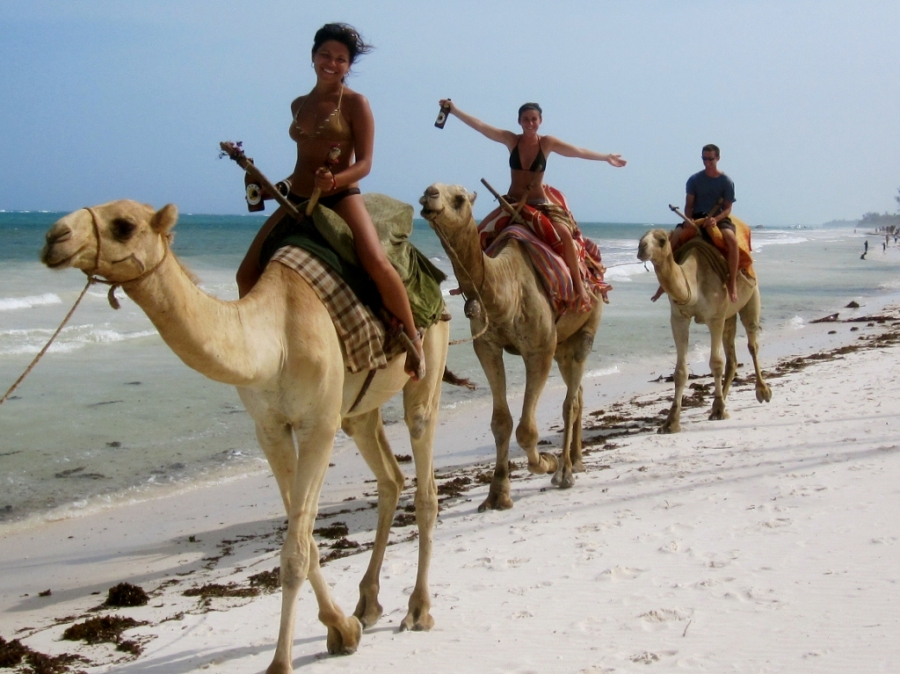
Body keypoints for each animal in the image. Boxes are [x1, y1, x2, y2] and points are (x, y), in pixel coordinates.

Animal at [41, 201, 446, 672]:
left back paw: (418, 609)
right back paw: (368, 604)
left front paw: (282, 662)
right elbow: (304, 539)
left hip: (426, 362)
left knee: (424, 471)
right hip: (358, 410)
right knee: (389, 478)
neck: (276, 338)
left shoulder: (317, 426)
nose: (55, 237)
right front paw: (342, 629)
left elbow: (295, 550)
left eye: (123, 226)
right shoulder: (270, 428)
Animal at [418, 184, 600, 510]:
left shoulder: (539, 350)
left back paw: (565, 472)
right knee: (577, 392)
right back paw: (577, 460)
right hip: (563, 346)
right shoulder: (487, 347)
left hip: (586, 327)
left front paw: (547, 462)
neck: (504, 291)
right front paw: (497, 494)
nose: (430, 193)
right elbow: (501, 422)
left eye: (459, 199)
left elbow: (527, 430)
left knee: (570, 401)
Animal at [636, 228, 768, 434]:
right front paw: (671, 422)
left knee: (752, 342)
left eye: (662, 240)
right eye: (641, 237)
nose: (641, 248)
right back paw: (719, 401)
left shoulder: (715, 318)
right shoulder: (679, 318)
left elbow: (716, 363)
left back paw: (762, 392)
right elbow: (681, 371)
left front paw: (720, 410)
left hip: (752, 296)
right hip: (729, 315)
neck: (694, 281)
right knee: (732, 357)